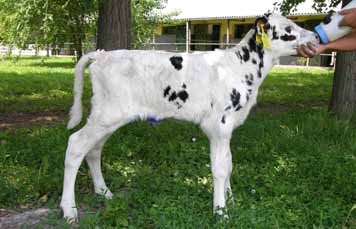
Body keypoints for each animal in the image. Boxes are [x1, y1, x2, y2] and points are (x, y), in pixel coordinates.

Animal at [59, 13, 318, 221]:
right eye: (288, 29)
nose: (316, 36)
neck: (241, 69)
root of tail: (101, 55)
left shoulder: (228, 127)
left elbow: (229, 164)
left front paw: (231, 201)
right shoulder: (219, 125)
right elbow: (220, 168)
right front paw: (220, 212)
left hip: (107, 116)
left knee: (93, 149)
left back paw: (104, 192)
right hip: (107, 115)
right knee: (75, 145)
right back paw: (69, 210)